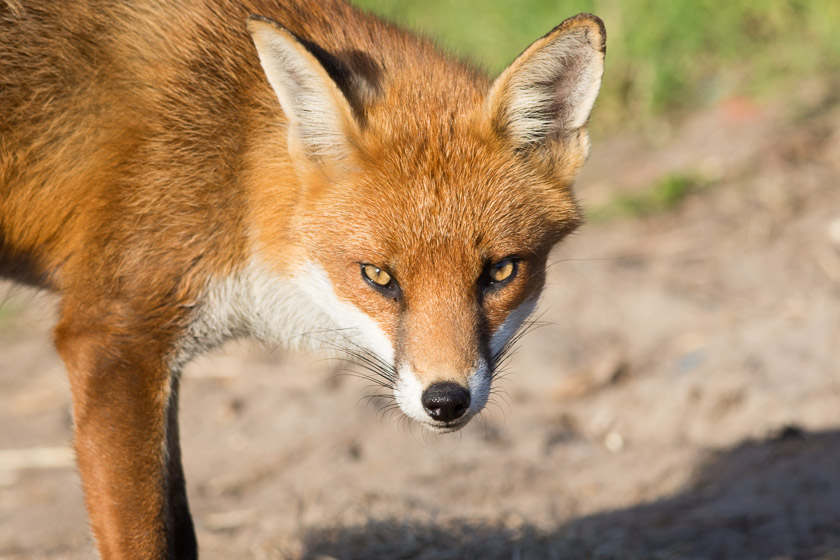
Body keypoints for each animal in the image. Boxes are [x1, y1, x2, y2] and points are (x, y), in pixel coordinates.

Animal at [0, 1, 604, 556]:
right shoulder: (112, 342)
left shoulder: (155, 364)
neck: (233, 163)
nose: (446, 400)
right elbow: (147, 539)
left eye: (500, 271)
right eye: (378, 275)